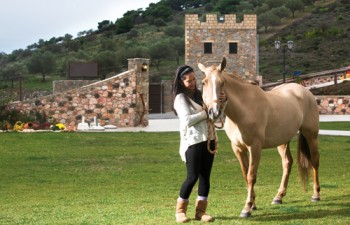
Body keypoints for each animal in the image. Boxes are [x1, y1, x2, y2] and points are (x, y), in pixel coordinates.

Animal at [197, 58, 320, 218]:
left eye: (222, 82)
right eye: (203, 82)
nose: (214, 112)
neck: (244, 110)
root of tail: (304, 91)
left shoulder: (255, 147)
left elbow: (251, 176)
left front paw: (247, 208)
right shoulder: (238, 148)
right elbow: (245, 174)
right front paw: (253, 204)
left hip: (311, 135)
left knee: (314, 161)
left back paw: (316, 195)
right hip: (282, 141)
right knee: (287, 163)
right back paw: (278, 197)